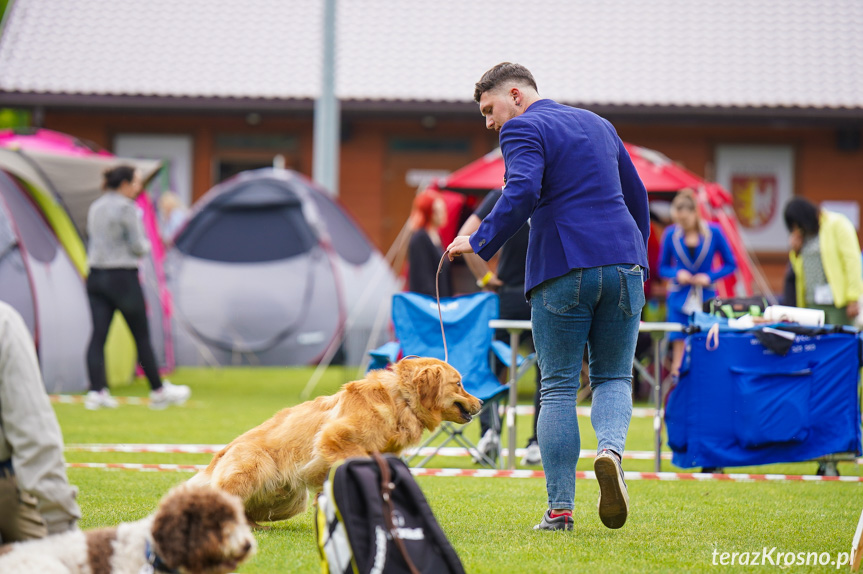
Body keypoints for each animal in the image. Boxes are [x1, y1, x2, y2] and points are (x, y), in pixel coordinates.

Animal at [189, 358, 482, 528]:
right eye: (459, 383)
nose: (481, 402)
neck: (400, 400)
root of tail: (223, 451)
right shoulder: (334, 438)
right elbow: (355, 461)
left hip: (290, 501)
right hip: (253, 471)